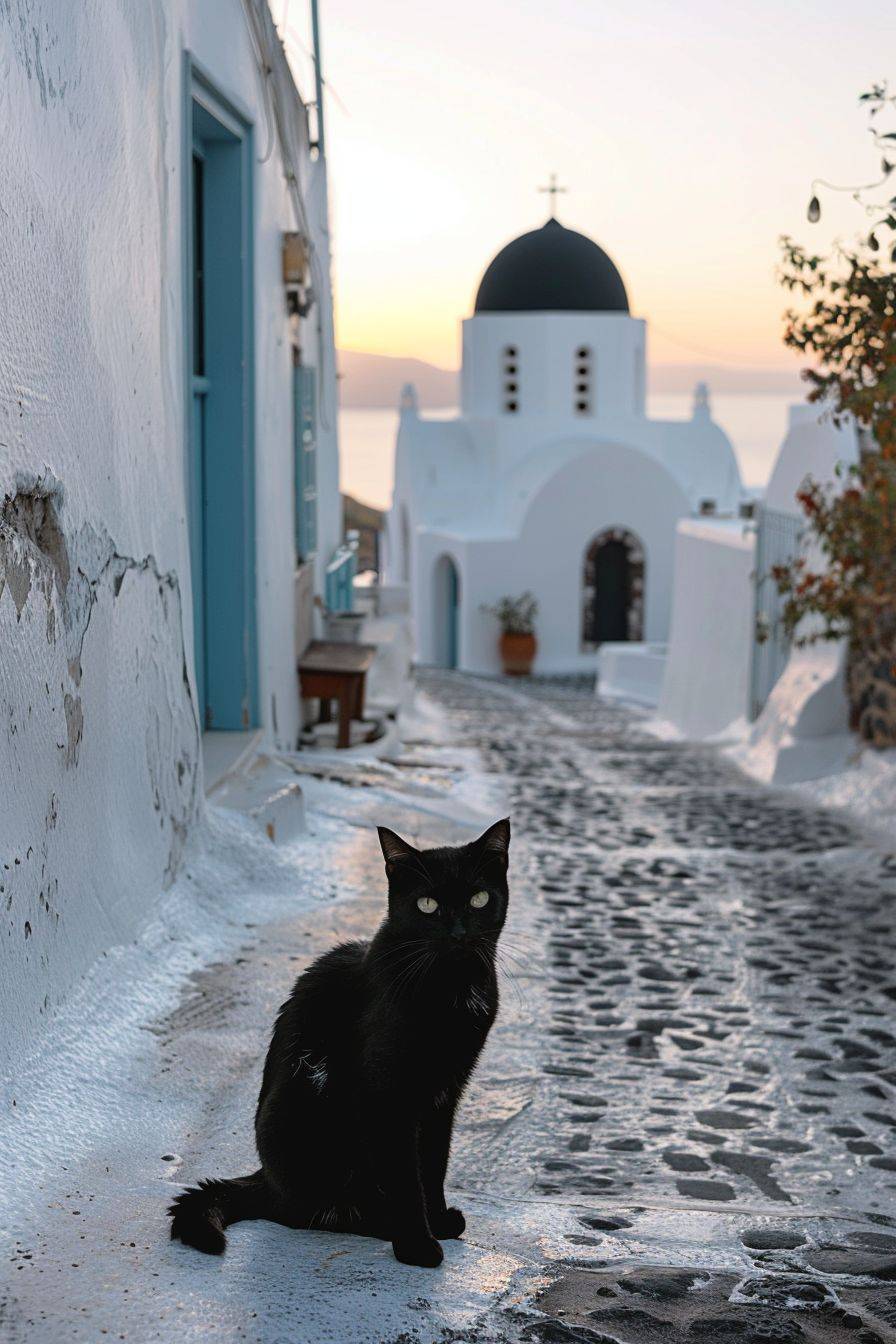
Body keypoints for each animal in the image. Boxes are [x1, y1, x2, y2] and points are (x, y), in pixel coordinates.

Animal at [169, 811, 510, 1263]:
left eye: (478, 899)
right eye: (428, 905)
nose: (456, 933)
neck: (450, 990)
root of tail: (264, 1179)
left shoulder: (445, 1094)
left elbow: (434, 1163)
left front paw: (436, 1221)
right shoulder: (387, 1096)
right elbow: (406, 1176)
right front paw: (417, 1244)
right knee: (307, 1213)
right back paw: (379, 1223)